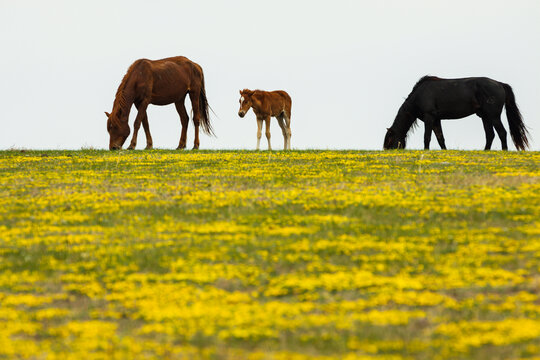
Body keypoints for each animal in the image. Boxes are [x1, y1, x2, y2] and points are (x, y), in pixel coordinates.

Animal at [384, 76, 532, 151]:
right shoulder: (436, 119)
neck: (419, 95)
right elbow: (440, 137)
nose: (387, 151)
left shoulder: (429, 117)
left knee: (502, 132)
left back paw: (503, 151)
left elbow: (427, 137)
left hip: (493, 116)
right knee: (490, 134)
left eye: (390, 140)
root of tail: (500, 84)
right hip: (485, 117)